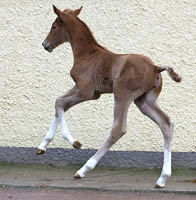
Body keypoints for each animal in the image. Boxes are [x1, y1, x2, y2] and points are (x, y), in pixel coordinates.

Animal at [37, 5, 181, 188]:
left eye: (54, 26)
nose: (45, 44)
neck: (87, 54)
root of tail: (156, 67)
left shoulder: (86, 91)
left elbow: (60, 103)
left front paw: (74, 142)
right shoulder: (86, 90)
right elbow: (59, 103)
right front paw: (42, 146)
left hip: (122, 94)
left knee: (118, 128)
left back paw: (84, 169)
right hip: (144, 101)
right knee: (166, 123)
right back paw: (162, 179)